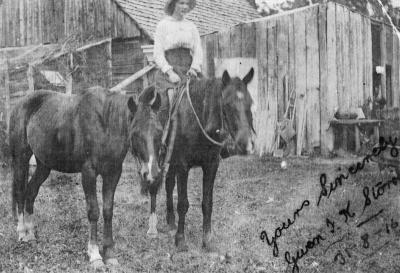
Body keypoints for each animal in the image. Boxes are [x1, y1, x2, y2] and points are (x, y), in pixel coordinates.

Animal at [8, 85, 163, 266]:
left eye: (159, 132)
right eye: (136, 133)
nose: (152, 174)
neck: (105, 125)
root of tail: (20, 103)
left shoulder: (113, 173)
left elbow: (108, 211)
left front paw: (109, 253)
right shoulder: (88, 173)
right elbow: (93, 211)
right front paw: (95, 254)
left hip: (43, 165)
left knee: (31, 193)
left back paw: (31, 234)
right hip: (21, 158)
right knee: (20, 193)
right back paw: (22, 233)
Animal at [155, 68, 253, 251]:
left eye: (250, 103)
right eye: (227, 104)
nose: (245, 144)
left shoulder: (211, 165)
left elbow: (207, 202)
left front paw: (207, 239)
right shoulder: (183, 166)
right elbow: (183, 203)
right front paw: (180, 239)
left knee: (169, 183)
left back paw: (170, 221)